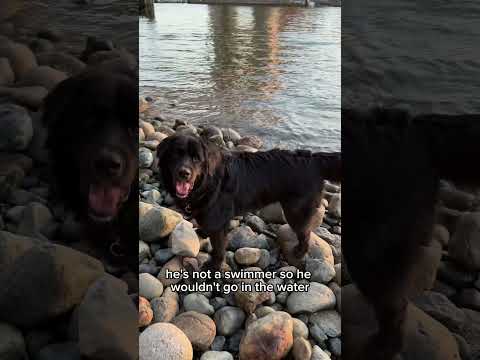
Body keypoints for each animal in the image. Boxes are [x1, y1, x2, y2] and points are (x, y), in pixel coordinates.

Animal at [156, 134, 340, 270]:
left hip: (296, 211)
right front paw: (203, 232)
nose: (184, 173)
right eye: (176, 154)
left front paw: (213, 267)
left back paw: (299, 253)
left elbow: (218, 249)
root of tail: (313, 158)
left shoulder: (218, 223)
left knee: (306, 234)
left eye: (196, 158)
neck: (207, 183)